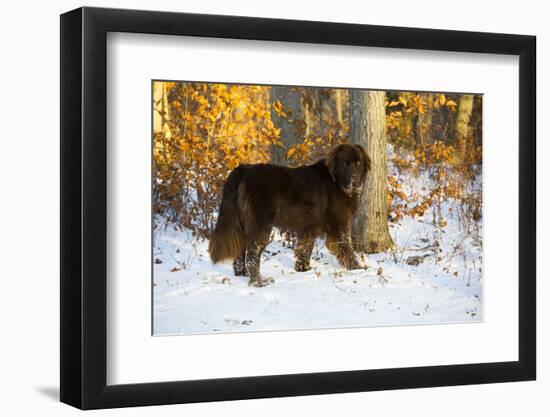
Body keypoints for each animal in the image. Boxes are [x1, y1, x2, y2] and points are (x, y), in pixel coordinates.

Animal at [209, 143, 374, 286]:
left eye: (358, 162)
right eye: (345, 163)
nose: (354, 178)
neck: (335, 181)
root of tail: (242, 170)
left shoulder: (310, 226)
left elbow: (305, 247)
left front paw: (303, 269)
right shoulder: (338, 224)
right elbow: (346, 247)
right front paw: (358, 268)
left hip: (242, 222)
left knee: (241, 251)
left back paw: (241, 275)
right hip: (261, 223)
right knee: (253, 253)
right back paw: (259, 282)